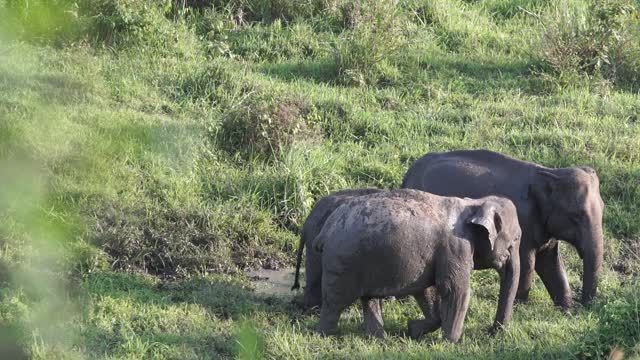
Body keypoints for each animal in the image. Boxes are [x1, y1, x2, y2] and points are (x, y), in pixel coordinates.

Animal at [314, 188, 520, 344]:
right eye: (517, 238)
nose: (491, 332)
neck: (474, 204)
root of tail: (326, 228)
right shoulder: (456, 247)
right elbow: (455, 290)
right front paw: (451, 343)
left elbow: (426, 290)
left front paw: (412, 329)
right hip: (342, 263)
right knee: (335, 301)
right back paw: (325, 336)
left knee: (369, 299)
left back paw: (379, 339)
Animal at [402, 149, 608, 310]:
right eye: (576, 216)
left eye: (603, 207)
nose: (584, 307)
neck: (548, 172)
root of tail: (408, 174)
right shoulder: (524, 223)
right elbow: (527, 264)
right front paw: (521, 306)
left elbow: (551, 264)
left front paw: (565, 310)